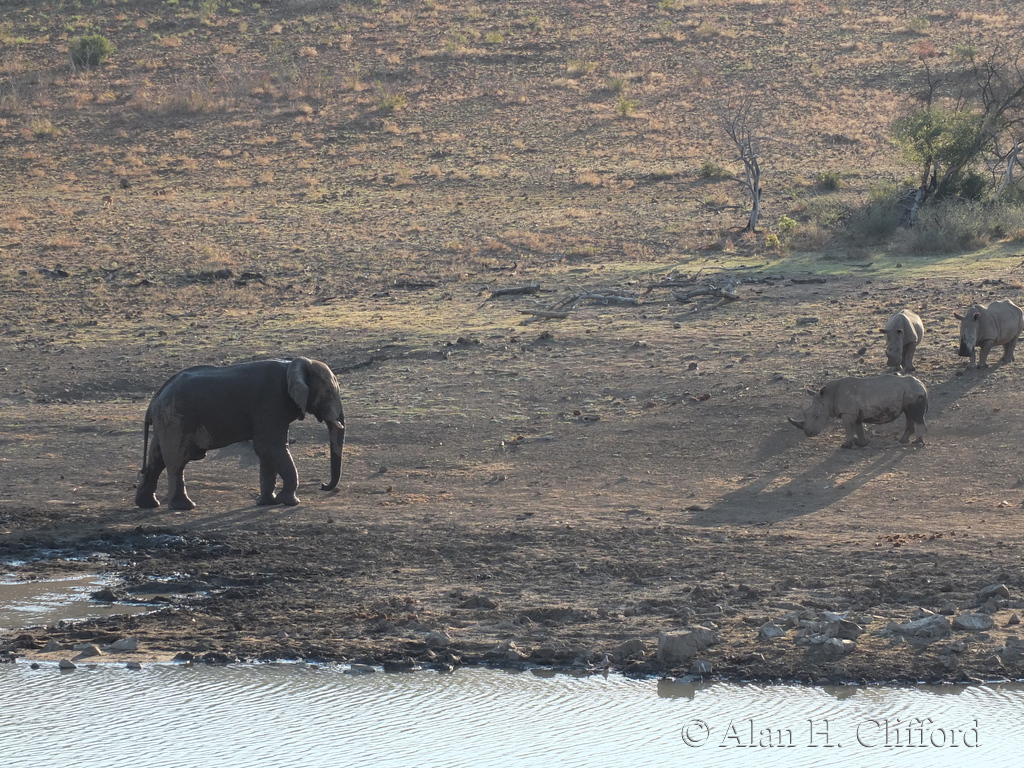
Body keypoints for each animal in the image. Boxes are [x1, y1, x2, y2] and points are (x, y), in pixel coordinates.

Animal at [134, 357, 345, 511]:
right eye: (328, 392)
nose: (322, 485)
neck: (295, 363)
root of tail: (153, 400)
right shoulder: (271, 401)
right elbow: (269, 447)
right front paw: (289, 502)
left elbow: (267, 451)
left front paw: (267, 502)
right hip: (177, 419)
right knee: (177, 460)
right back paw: (184, 506)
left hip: (167, 420)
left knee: (156, 458)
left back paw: (148, 505)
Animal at [787, 375, 928, 449]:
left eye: (816, 417)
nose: (808, 434)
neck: (828, 397)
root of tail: (923, 386)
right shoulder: (854, 413)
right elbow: (858, 428)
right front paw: (861, 444)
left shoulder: (847, 413)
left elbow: (849, 429)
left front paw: (845, 446)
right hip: (910, 394)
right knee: (909, 414)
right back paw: (902, 441)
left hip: (914, 393)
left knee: (915, 416)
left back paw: (917, 442)